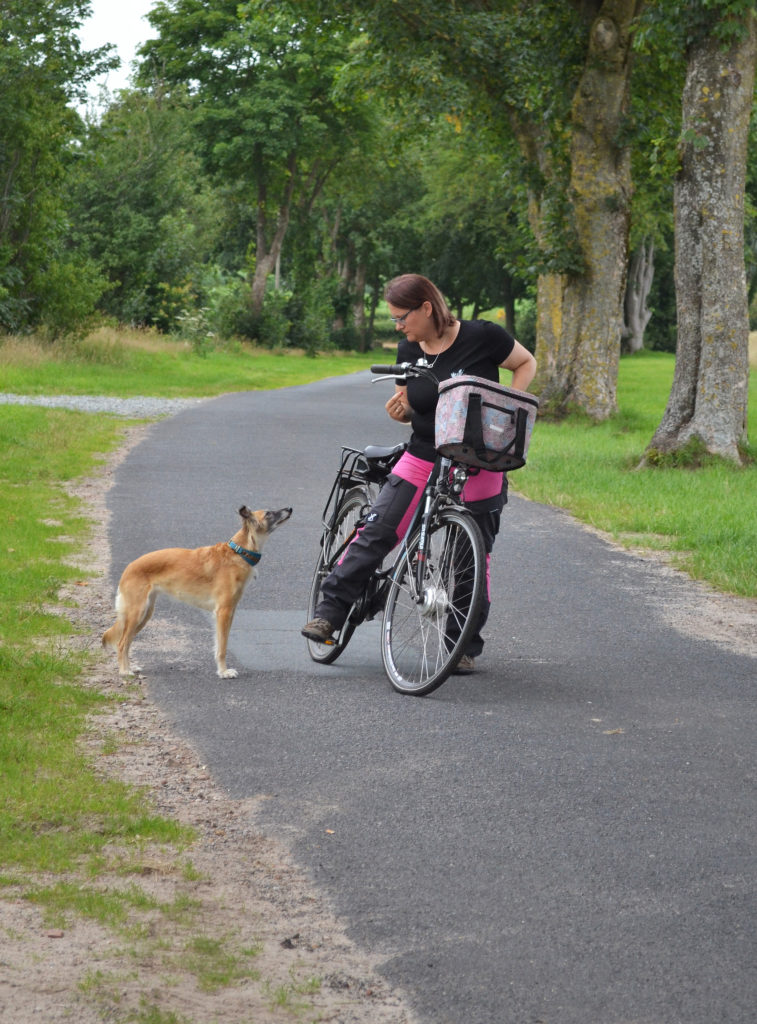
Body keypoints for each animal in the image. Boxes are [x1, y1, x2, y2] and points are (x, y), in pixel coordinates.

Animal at [104, 505, 295, 679]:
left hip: (145, 614)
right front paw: (224, 672)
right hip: (137, 612)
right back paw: (124, 671)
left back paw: (130, 667)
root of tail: (128, 568)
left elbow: (219, 645)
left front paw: (221, 670)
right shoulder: (224, 612)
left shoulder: (228, 612)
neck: (239, 552)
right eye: (269, 513)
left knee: (126, 642)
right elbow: (222, 647)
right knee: (122, 643)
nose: (290, 509)